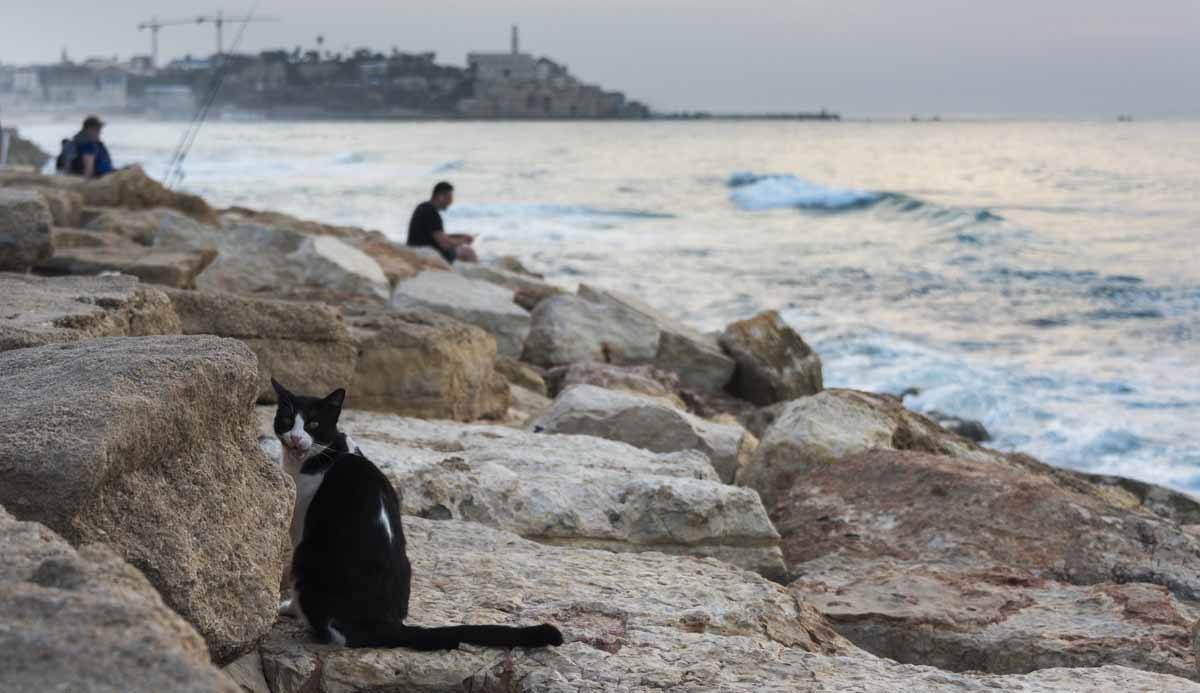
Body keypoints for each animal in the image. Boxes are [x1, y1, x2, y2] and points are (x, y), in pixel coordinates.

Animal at [272, 378, 561, 647]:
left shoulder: (300, 524)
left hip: (308, 556)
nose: (296, 438)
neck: (325, 456)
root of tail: (388, 625)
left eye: (313, 424)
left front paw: (285, 608)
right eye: (287, 420)